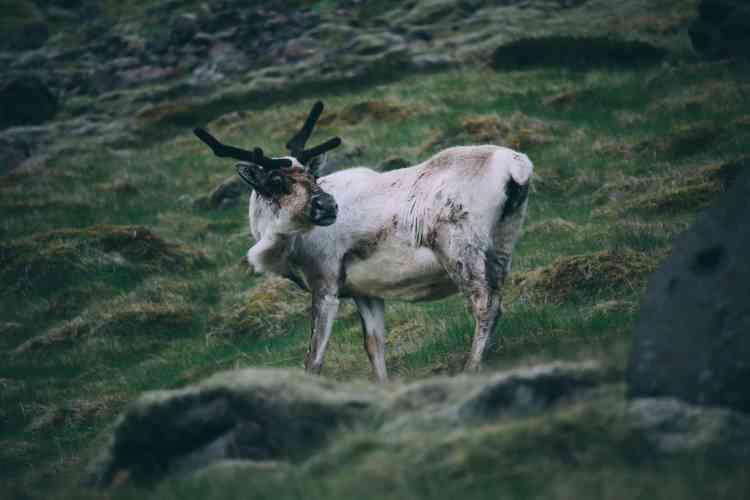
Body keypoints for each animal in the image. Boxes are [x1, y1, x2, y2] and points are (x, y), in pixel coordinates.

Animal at [194, 101, 533, 382]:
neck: (287, 248)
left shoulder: (325, 281)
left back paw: (471, 367)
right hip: (503, 244)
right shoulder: (364, 291)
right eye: (276, 181)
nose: (328, 206)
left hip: (459, 247)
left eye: (310, 175)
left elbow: (313, 358)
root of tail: (517, 167)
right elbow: (374, 345)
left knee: (484, 304)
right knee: (497, 299)